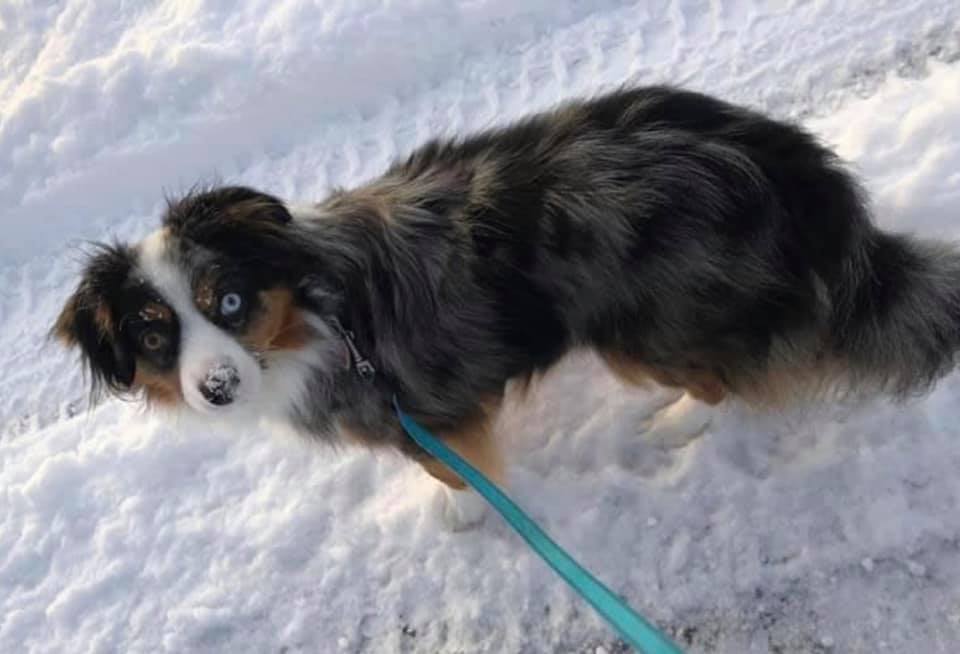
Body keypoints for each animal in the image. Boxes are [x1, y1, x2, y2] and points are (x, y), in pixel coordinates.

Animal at [52, 84, 960, 532]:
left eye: (229, 301)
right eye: (155, 337)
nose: (217, 388)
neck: (315, 313)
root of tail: (781, 161)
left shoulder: (416, 410)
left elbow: (448, 465)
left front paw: (462, 509)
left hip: (640, 320)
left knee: (723, 378)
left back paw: (676, 422)